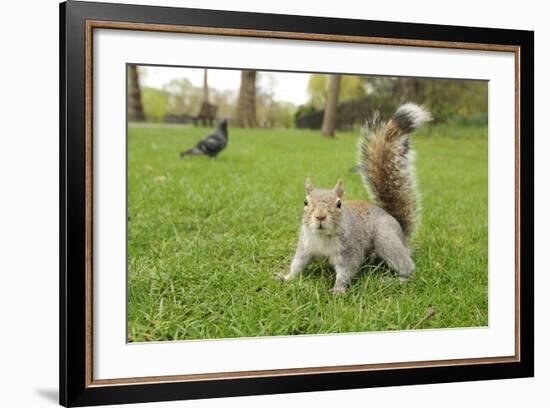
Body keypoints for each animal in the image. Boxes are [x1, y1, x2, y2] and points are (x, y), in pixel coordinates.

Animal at [280, 103, 432, 292]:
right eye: (305, 202)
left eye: (339, 204)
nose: (320, 216)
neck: (323, 237)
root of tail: (399, 227)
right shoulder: (305, 247)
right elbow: (297, 264)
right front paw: (287, 277)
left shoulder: (350, 250)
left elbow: (347, 270)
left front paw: (338, 289)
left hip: (386, 238)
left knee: (407, 266)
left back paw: (397, 280)